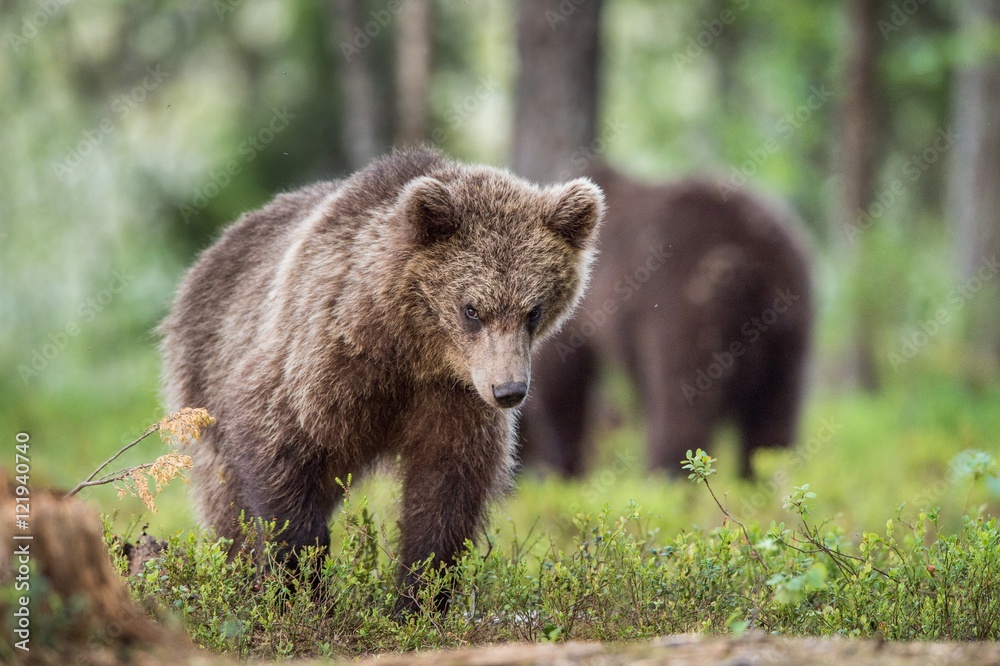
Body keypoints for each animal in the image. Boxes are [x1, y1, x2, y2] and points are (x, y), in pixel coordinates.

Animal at [520, 166, 808, 478]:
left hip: (688, 313)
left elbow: (561, 381)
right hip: (788, 344)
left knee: (680, 412)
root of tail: (759, 271)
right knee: (772, 424)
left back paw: (665, 478)